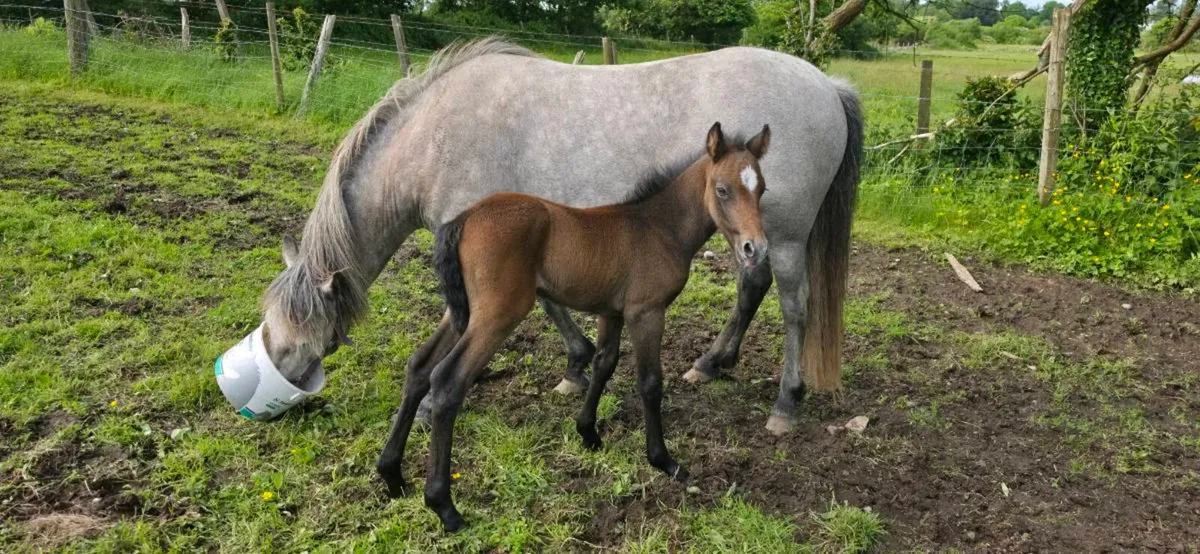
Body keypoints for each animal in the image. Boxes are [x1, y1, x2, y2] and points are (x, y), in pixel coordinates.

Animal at [254, 38, 862, 441]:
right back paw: (712, 363)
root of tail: (826, 85)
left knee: (793, 307)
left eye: (300, 325)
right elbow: (551, 301)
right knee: (751, 287)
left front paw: (433, 404)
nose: (281, 372)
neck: (434, 135)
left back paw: (786, 402)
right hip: (752, 238)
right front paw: (577, 365)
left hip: (783, 237)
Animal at [375, 122, 770, 531]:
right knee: (448, 380)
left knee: (419, 367)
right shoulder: (646, 312)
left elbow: (604, 363)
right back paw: (444, 506)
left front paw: (588, 433)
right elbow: (650, 382)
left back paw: (392, 475)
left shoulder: (612, 312)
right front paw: (664, 460)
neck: (659, 227)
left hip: (461, 312)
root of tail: (464, 217)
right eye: (722, 189)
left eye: (761, 189)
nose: (755, 249)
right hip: (497, 314)